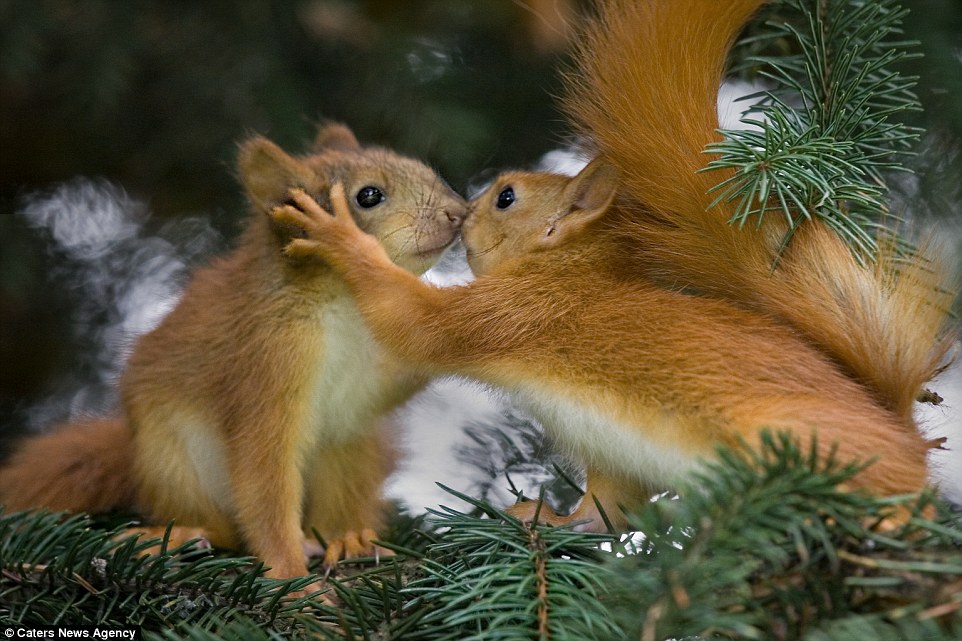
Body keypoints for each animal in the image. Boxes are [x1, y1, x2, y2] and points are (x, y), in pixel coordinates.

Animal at [0, 122, 464, 584]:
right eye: (368, 196)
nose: (458, 213)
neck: (347, 304)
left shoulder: (375, 373)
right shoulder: (265, 361)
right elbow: (264, 478)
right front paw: (292, 580)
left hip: (352, 445)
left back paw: (347, 538)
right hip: (172, 459)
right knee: (223, 527)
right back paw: (183, 534)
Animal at [268, 0, 952, 528]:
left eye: (506, 197)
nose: (460, 213)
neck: (569, 271)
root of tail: (902, 435)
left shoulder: (513, 312)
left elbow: (415, 322)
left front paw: (339, 237)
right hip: (618, 457)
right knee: (605, 513)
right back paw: (548, 520)